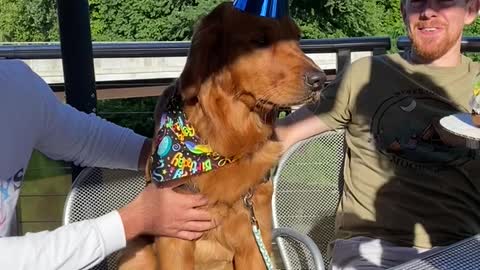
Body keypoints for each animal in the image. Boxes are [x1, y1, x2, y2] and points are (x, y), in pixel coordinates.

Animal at [118, 2, 324, 270]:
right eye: (260, 40)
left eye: (297, 39)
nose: (320, 80)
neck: (227, 143)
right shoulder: (175, 240)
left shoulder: (253, 238)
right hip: (138, 253)